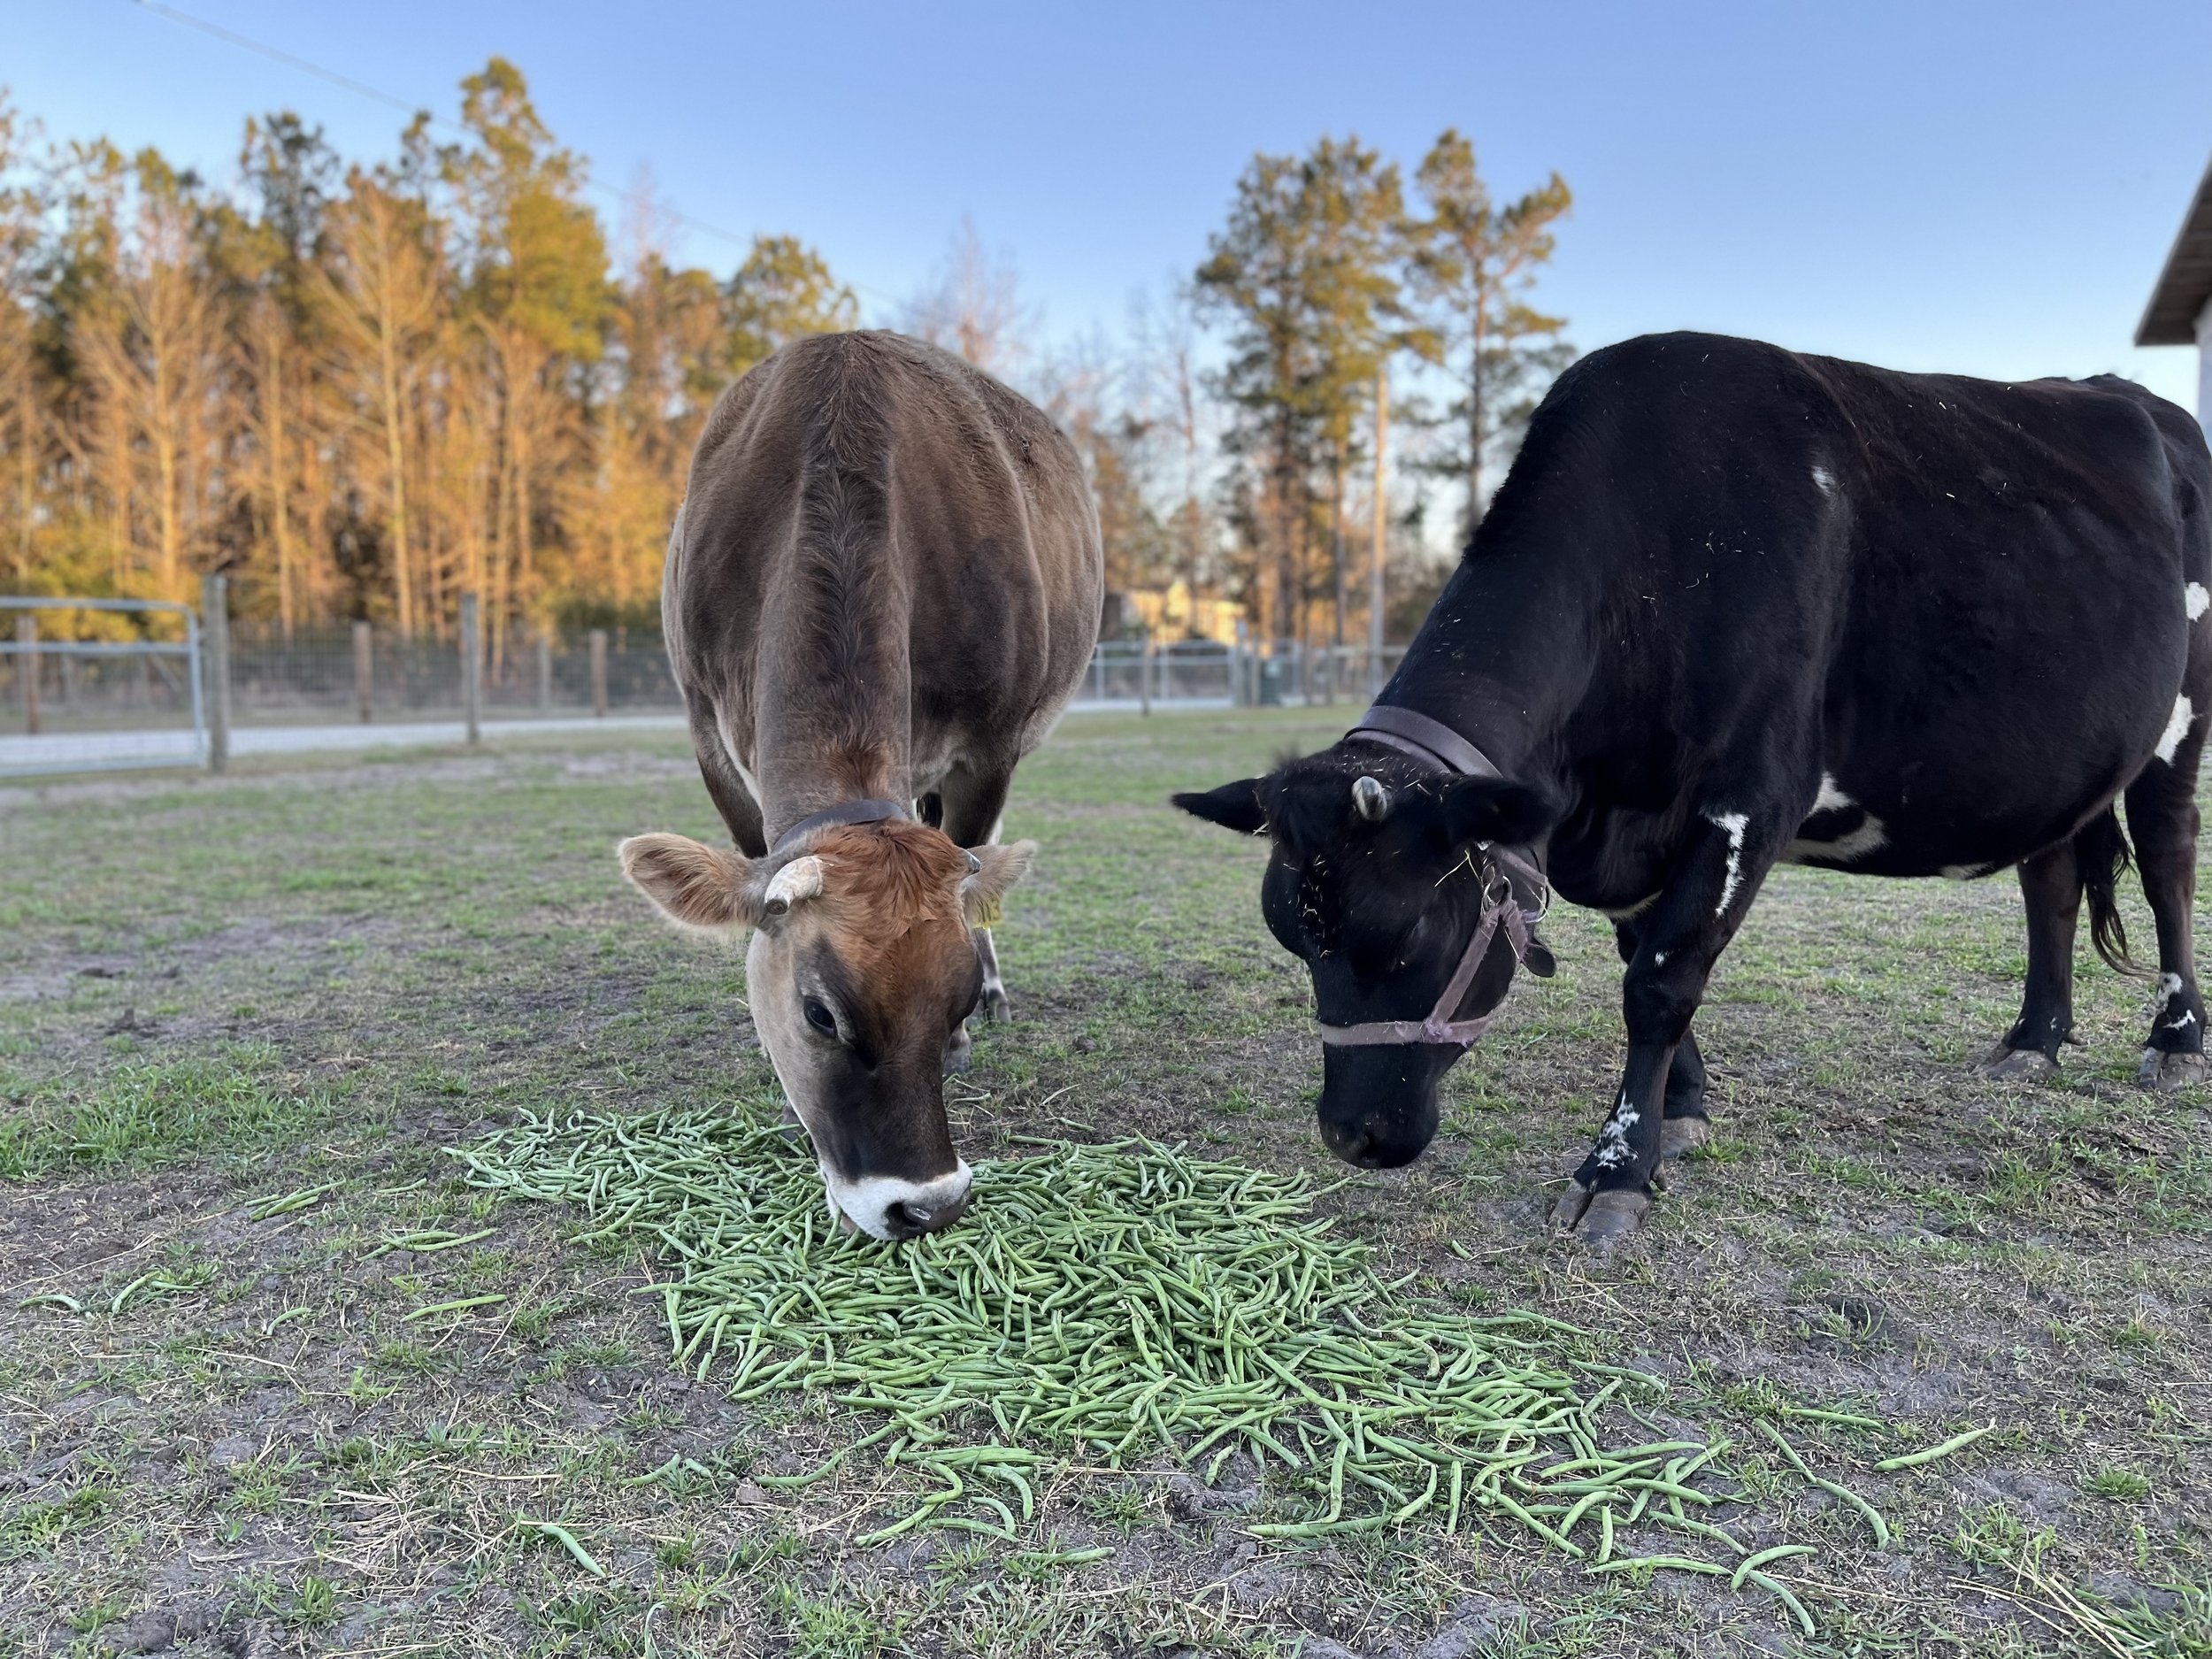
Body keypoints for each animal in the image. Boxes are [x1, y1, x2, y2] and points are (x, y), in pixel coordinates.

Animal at [1176, 331, 2211, 1243]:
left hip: (2183, 716)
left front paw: (1615, 1173)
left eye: (1411, 934)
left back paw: (2173, 1039)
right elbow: (1643, 956)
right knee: (2052, 882)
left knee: (2167, 864)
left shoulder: (1749, 796)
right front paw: (1682, 1107)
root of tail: (2133, 397)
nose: (1351, 1137)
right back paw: (2033, 1039)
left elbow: (1662, 981)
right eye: (1292, 936)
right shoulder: (1632, 829)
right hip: (2059, 763)